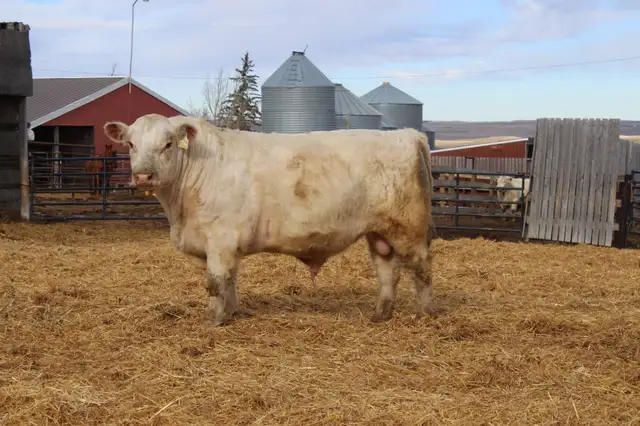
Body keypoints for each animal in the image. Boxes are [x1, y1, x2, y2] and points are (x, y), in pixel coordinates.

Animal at [103, 114, 436, 327]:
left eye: (168, 144)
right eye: (131, 145)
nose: (143, 175)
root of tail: (409, 134)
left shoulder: (220, 240)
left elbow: (215, 282)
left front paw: (215, 320)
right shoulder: (226, 246)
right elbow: (230, 280)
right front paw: (232, 313)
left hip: (408, 229)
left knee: (421, 270)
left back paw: (423, 314)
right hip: (379, 232)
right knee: (388, 272)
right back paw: (380, 315)